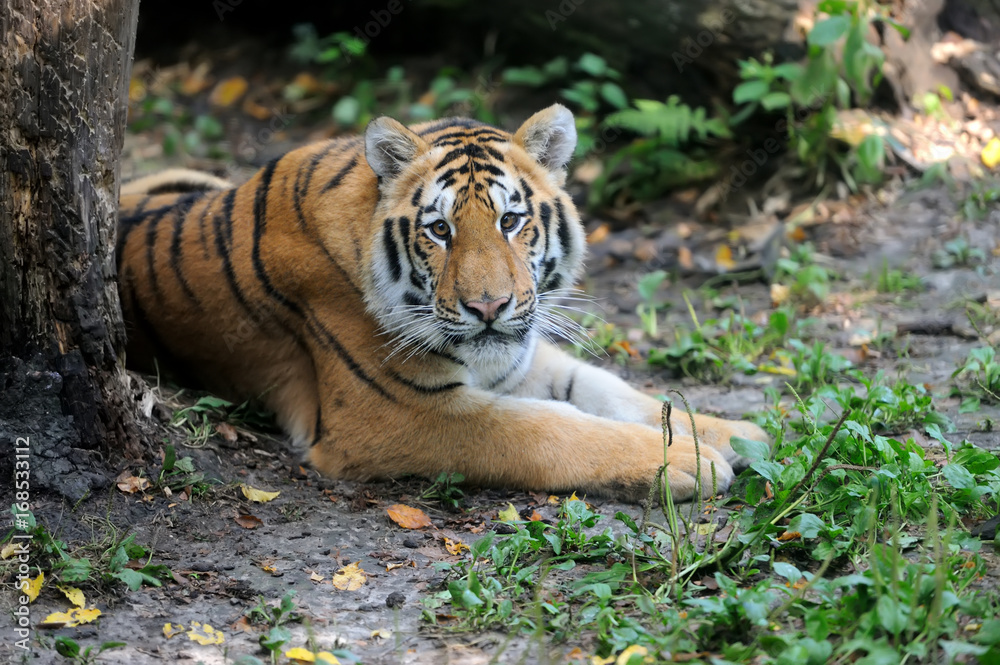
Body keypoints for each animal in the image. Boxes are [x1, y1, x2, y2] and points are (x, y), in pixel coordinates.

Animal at [119, 102, 764, 498]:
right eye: (439, 230)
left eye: (510, 221)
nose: (489, 308)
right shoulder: (396, 414)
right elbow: (546, 430)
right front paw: (687, 461)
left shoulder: (518, 357)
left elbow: (613, 391)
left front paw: (738, 433)